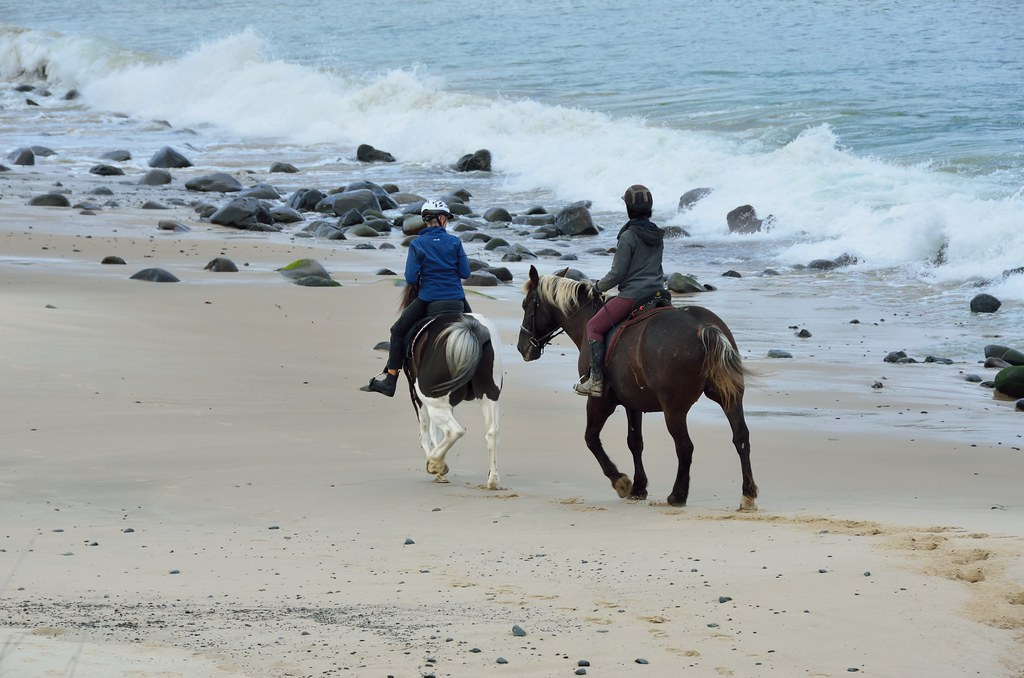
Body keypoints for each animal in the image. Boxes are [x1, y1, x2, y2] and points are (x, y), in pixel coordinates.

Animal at [402, 309, 503, 489]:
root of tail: (472, 328)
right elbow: (435, 433)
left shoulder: (418, 398)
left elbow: (426, 433)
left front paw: (437, 468)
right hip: (489, 395)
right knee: (492, 432)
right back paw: (493, 480)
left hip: (433, 401)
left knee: (454, 431)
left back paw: (435, 462)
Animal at [517, 265, 757, 510]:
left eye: (526, 305)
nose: (521, 346)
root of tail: (703, 327)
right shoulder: (633, 403)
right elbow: (635, 442)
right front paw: (639, 487)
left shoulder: (600, 400)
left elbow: (591, 438)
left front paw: (621, 481)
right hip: (729, 398)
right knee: (741, 438)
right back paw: (747, 495)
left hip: (674, 409)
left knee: (685, 447)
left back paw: (678, 495)